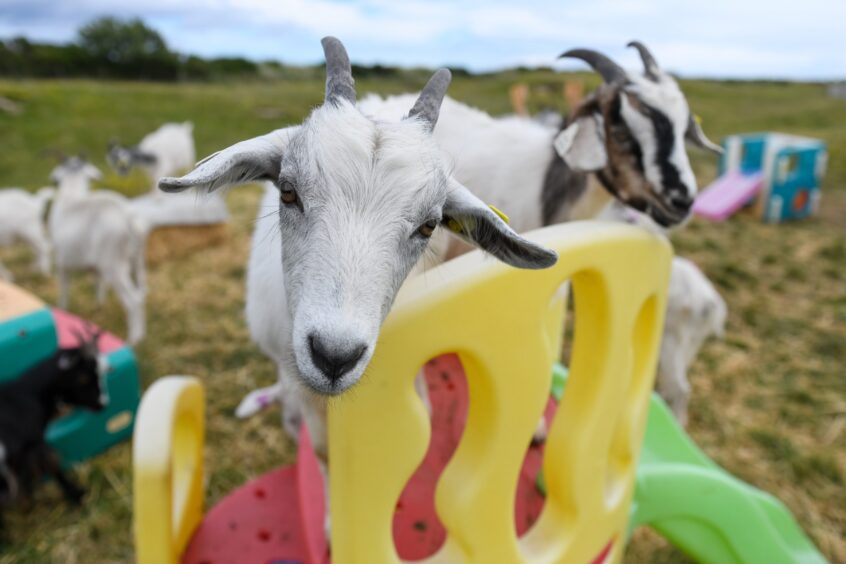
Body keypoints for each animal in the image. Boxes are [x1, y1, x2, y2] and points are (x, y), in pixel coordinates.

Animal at [0, 330, 108, 536]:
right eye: (84, 378)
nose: (103, 404)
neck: (26, 392)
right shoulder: (34, 443)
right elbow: (54, 465)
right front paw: (77, 495)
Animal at [48, 156, 148, 346]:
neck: (70, 198)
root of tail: (128, 218)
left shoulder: (62, 262)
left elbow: (64, 289)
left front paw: (62, 311)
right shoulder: (97, 268)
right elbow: (98, 284)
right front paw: (99, 306)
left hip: (114, 265)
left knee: (133, 300)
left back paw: (134, 339)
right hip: (136, 262)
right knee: (142, 292)